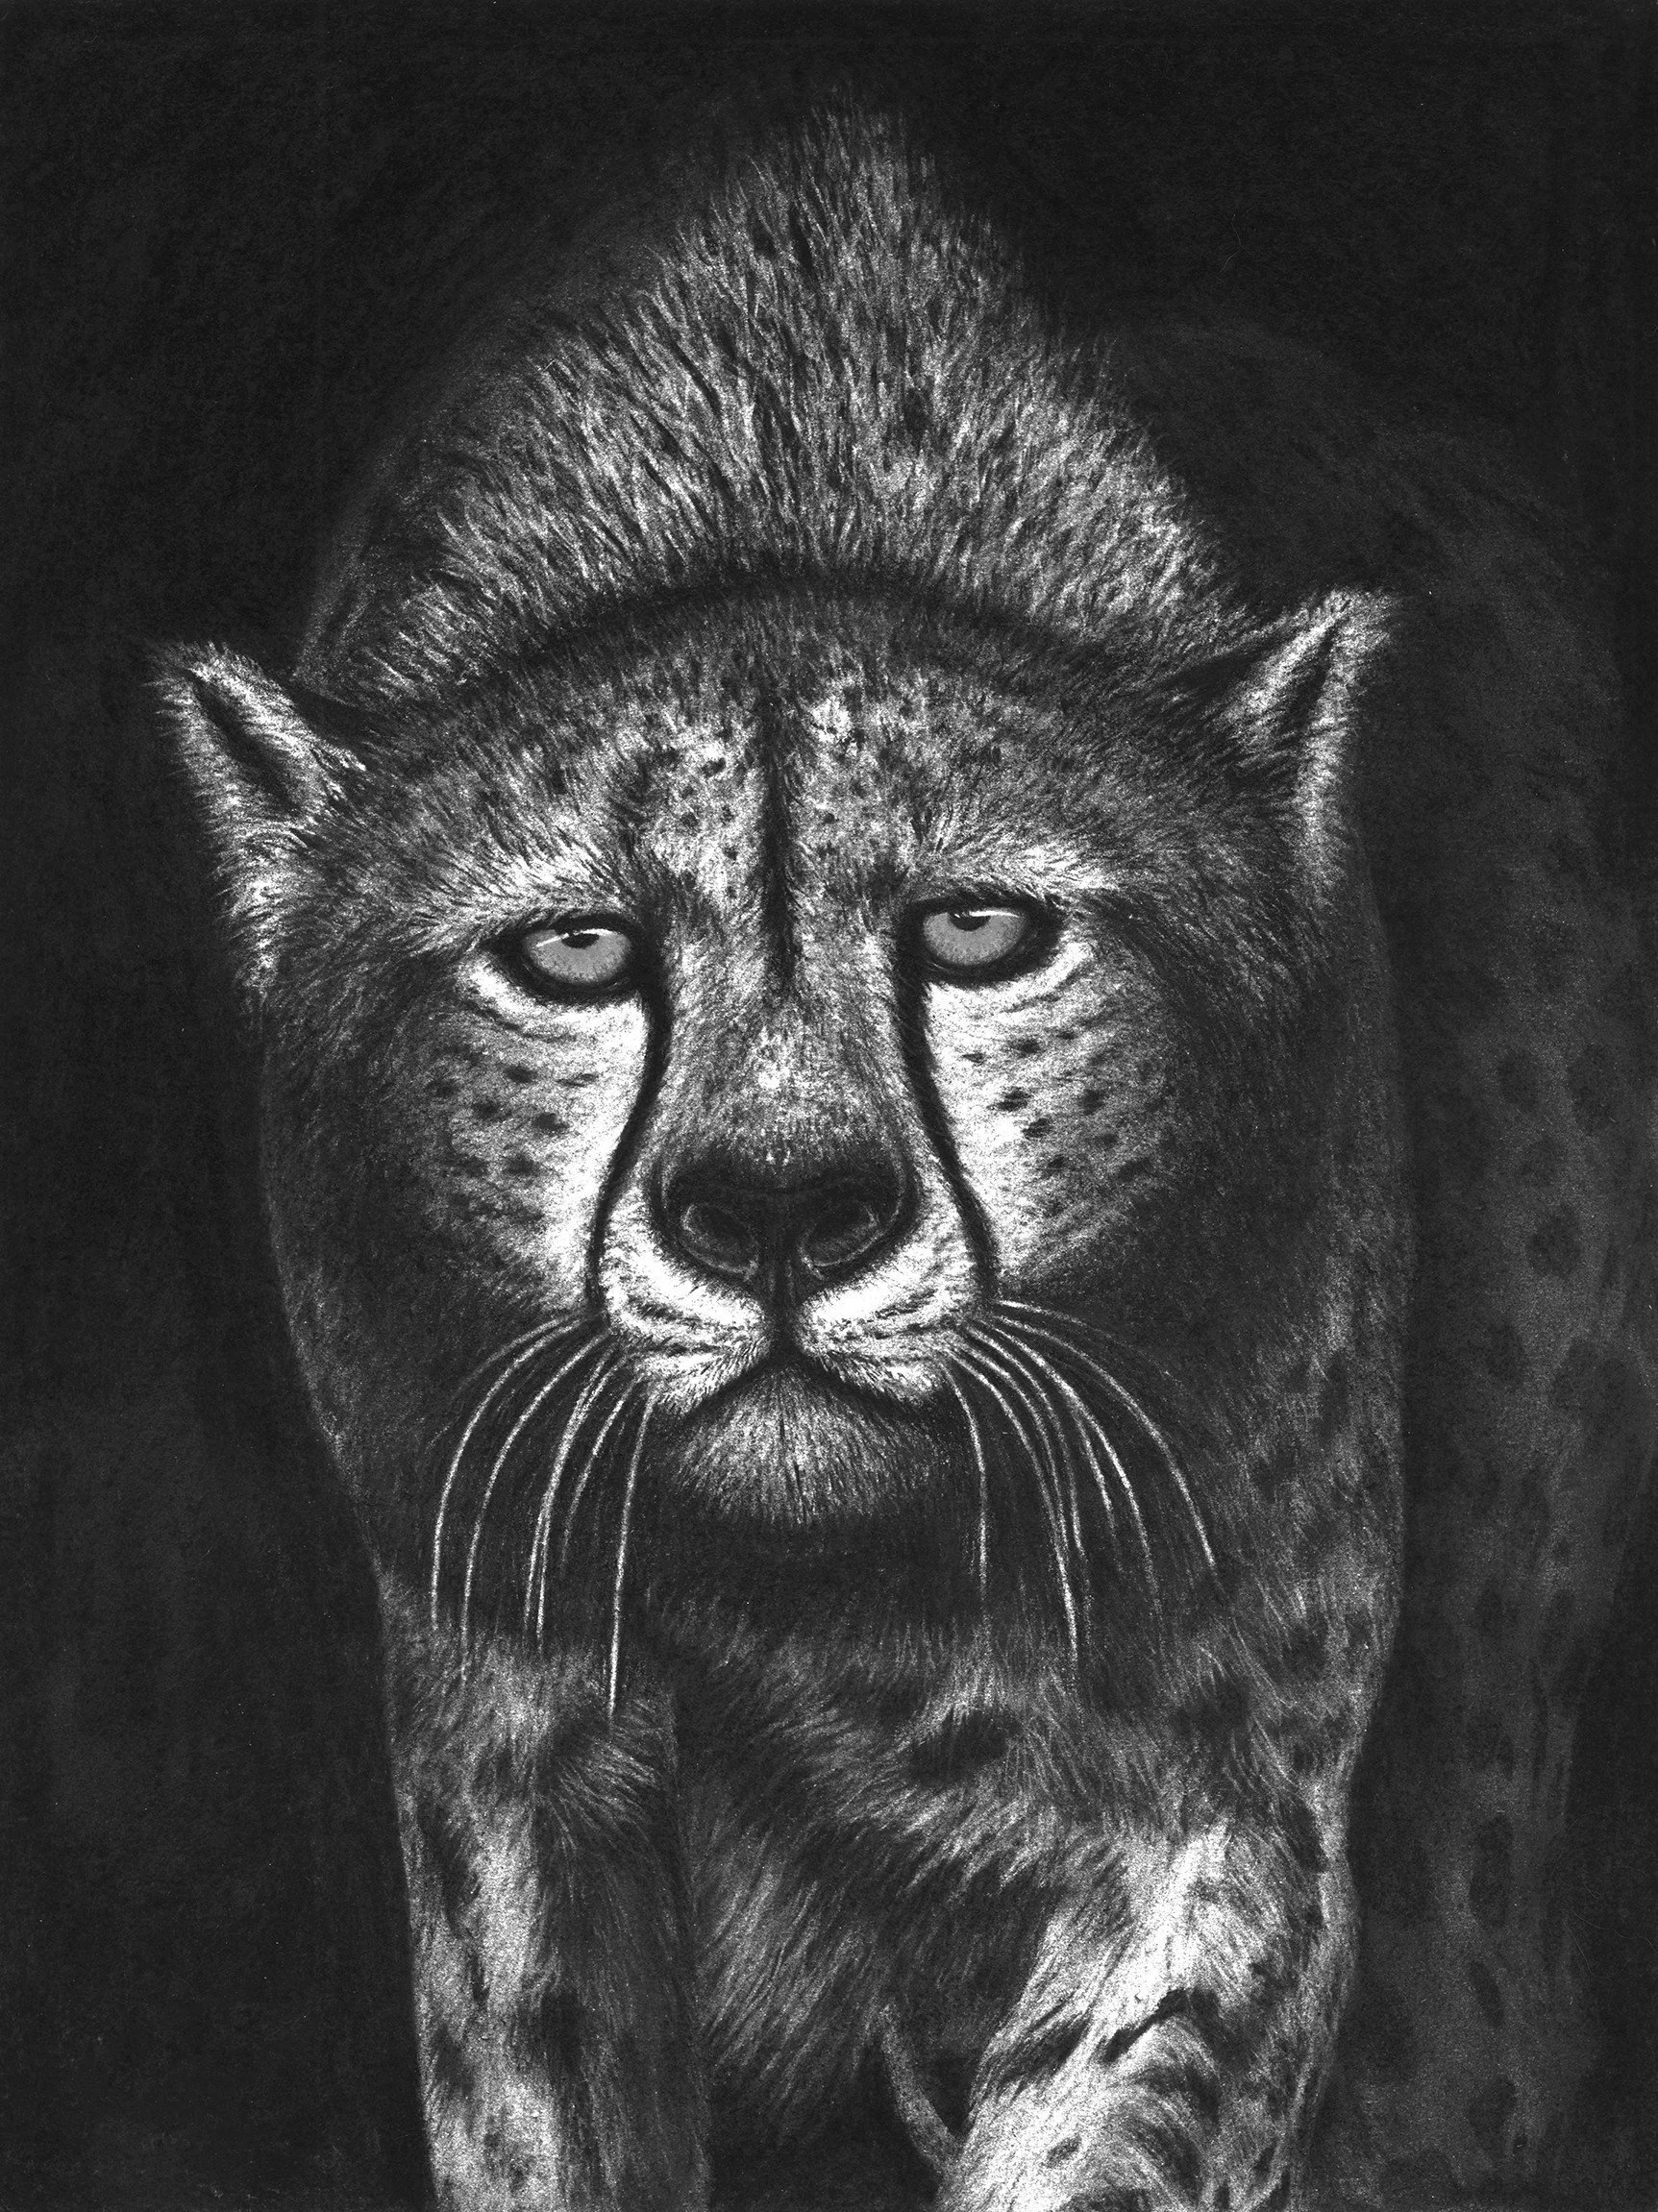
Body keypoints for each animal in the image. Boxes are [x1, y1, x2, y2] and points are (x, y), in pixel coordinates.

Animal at [155, 100, 1656, 2212]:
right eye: (576, 952)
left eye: (977, 929)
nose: (782, 1213)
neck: (826, 1606)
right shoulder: (512, 1750)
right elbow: (542, 2100)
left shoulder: (1222, 1827)